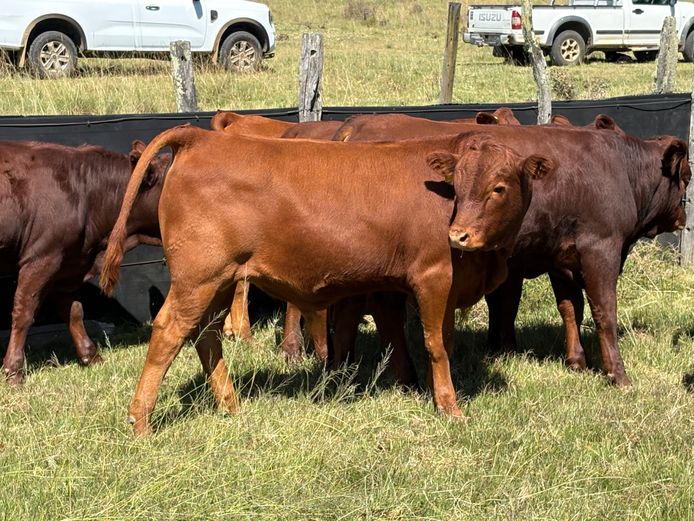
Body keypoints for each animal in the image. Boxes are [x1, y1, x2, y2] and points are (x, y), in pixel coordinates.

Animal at [0, 140, 169, 385]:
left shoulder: (67, 264)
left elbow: (74, 312)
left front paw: (91, 356)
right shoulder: (41, 258)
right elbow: (23, 313)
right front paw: (13, 371)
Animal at [99, 126, 552, 435]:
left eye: (499, 187)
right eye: (458, 185)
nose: (458, 235)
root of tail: (200, 137)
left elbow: (420, 337)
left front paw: (420, 390)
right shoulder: (433, 276)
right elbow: (436, 344)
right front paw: (449, 406)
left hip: (222, 280)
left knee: (206, 335)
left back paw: (230, 406)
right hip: (198, 278)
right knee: (168, 331)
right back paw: (141, 421)